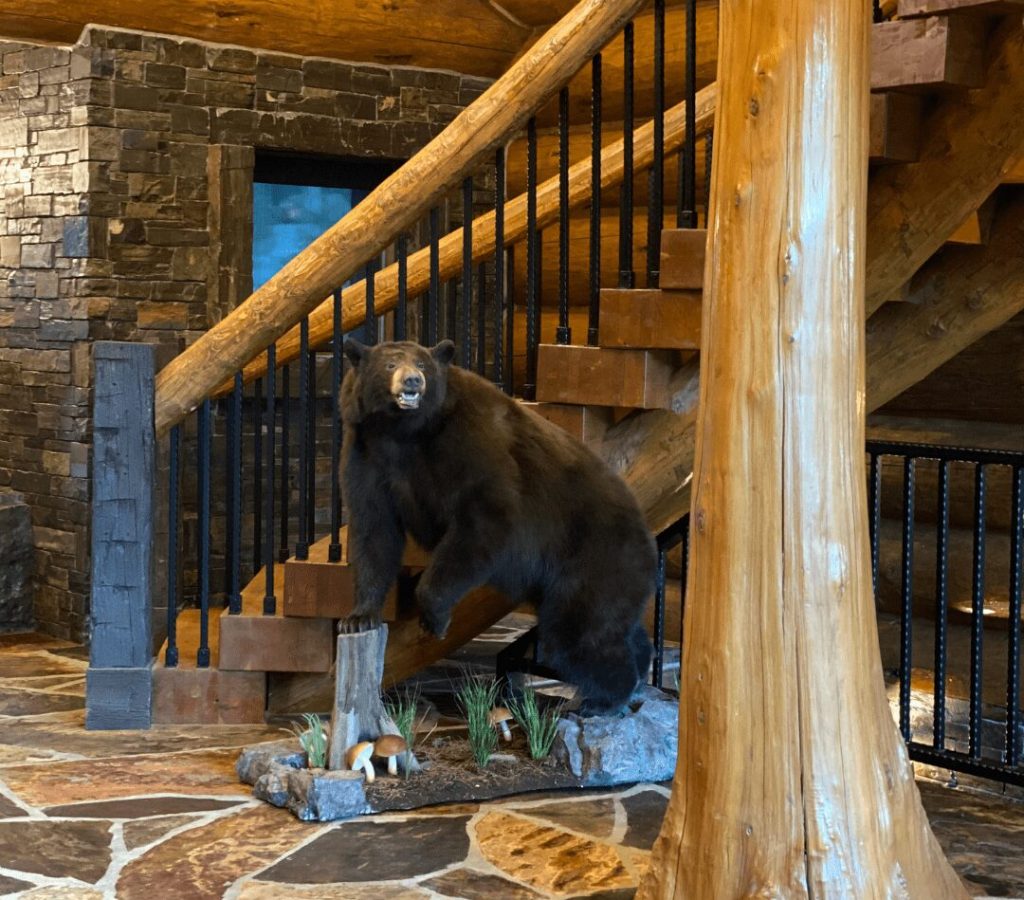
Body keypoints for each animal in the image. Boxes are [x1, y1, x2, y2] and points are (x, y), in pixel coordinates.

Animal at [337, 341, 655, 712]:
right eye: (389, 364)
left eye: (422, 364)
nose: (413, 380)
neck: (405, 431)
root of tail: (645, 535)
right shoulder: (366, 453)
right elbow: (374, 529)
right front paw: (359, 616)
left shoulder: (468, 443)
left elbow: (486, 516)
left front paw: (434, 617)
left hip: (595, 559)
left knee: (576, 633)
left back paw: (601, 698)